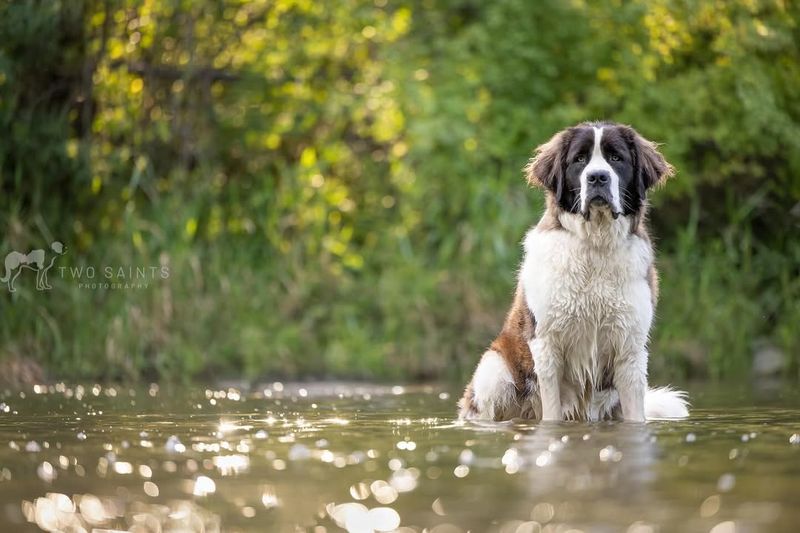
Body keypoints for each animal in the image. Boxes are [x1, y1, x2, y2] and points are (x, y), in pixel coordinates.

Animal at [460, 122, 692, 422]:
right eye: (579, 160)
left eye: (616, 158)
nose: (597, 178)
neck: (595, 245)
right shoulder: (547, 346)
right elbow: (552, 412)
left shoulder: (630, 350)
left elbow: (635, 415)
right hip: (494, 369)